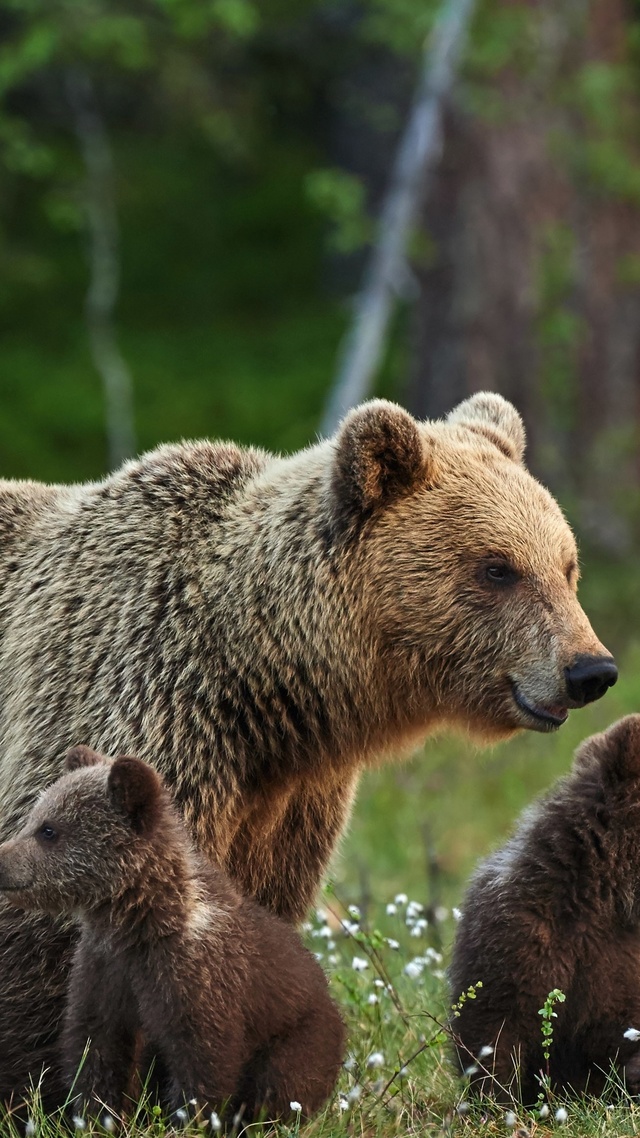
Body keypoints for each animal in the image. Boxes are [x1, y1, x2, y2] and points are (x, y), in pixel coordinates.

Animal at [0, 741, 343, 1124]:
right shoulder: (103, 969)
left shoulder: (197, 978)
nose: (1, 860)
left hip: (299, 1035)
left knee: (280, 1084)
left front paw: (187, 1119)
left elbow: (203, 1062)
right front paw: (97, 1116)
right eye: (34, 818)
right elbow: (96, 1047)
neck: (137, 921)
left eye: (48, 830)